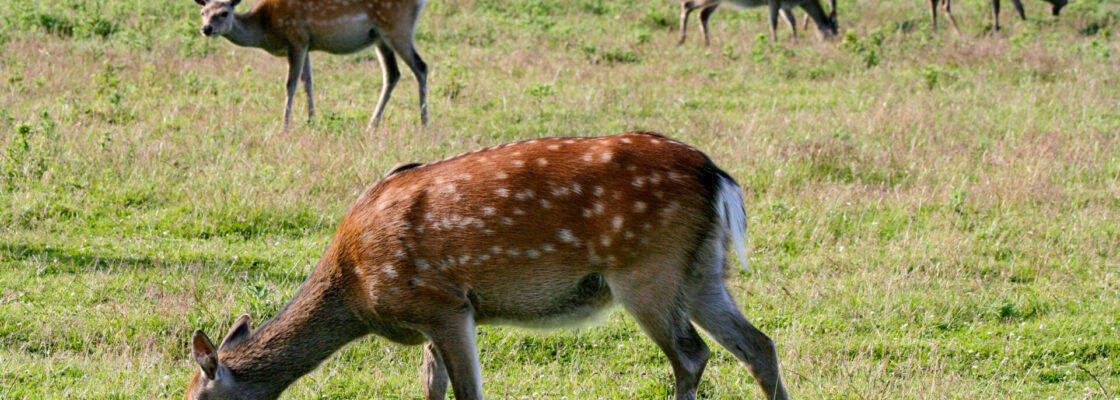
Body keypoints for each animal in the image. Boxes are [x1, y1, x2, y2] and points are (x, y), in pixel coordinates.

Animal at [185, 131, 790, 400]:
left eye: (199, 399)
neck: (357, 290)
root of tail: (718, 178)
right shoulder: (429, 319)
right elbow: (432, 388)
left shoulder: (445, 303)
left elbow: (468, 392)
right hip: (702, 270)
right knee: (758, 344)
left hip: (646, 270)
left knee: (691, 354)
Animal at [193, 0, 429, 129]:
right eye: (203, 13)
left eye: (224, 13)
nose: (206, 29)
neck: (265, 29)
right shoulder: (306, 44)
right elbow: (308, 81)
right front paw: (311, 119)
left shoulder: (296, 37)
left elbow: (290, 84)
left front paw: (285, 126)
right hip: (380, 36)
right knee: (393, 73)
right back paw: (373, 124)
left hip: (397, 26)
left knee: (421, 67)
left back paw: (424, 122)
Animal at [678, 0, 838, 46]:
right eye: (834, 29)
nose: (833, 43)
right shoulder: (774, 3)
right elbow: (773, 22)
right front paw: (775, 43)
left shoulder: (784, 7)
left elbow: (792, 22)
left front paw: (795, 41)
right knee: (687, 5)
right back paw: (681, 40)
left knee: (703, 15)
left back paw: (707, 43)